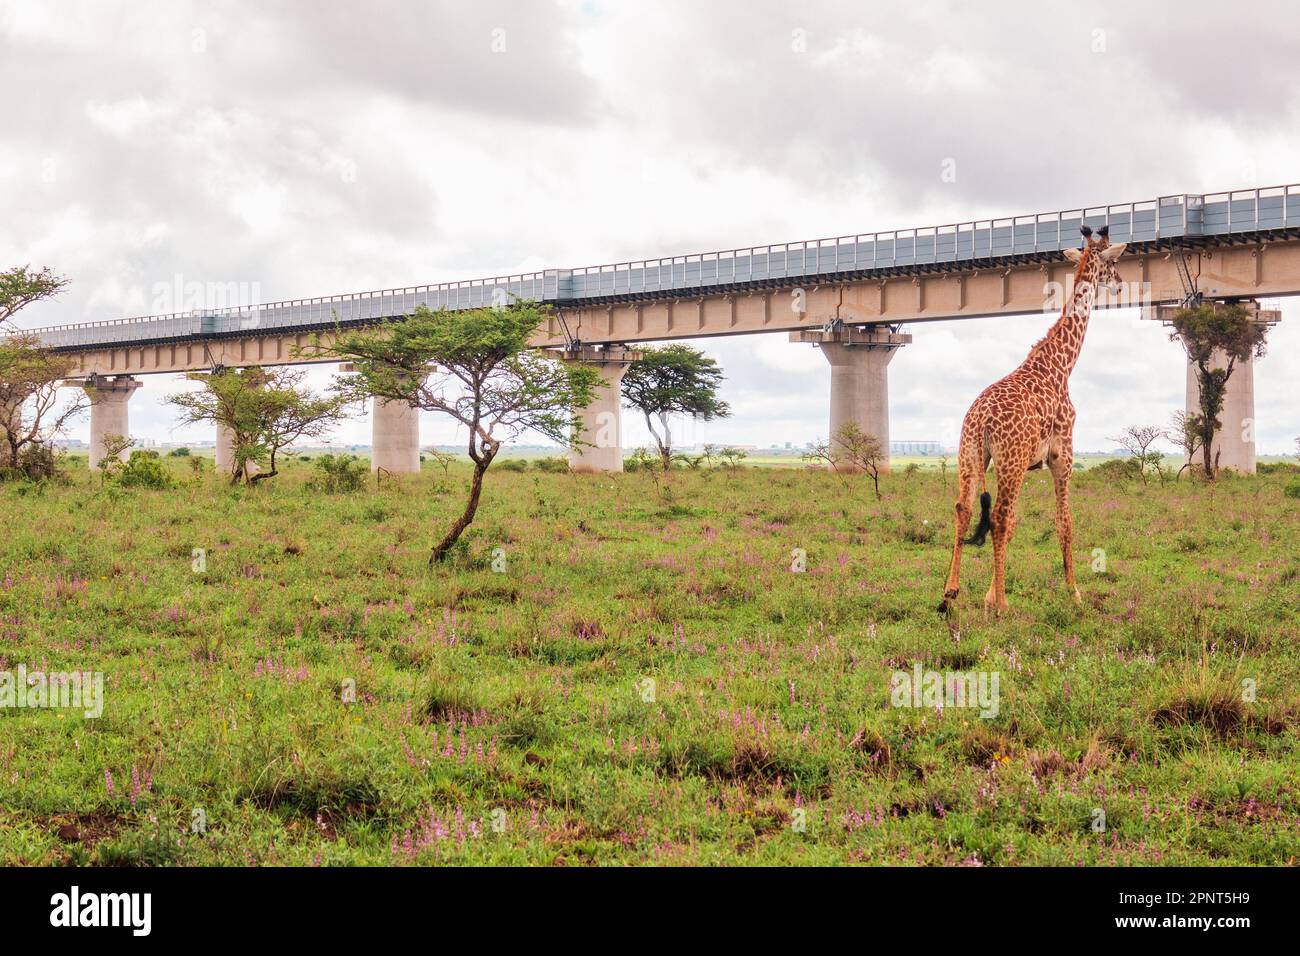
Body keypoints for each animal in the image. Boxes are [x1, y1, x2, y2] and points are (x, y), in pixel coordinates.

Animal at [935, 223, 1128, 613]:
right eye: (1113, 262)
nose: (1120, 283)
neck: (1061, 365)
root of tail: (982, 419)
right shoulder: (1062, 455)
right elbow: (1064, 523)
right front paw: (1074, 592)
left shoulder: (1031, 461)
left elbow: (1016, 526)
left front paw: (987, 593)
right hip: (1010, 462)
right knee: (998, 516)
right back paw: (1002, 605)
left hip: (970, 455)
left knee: (964, 509)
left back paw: (950, 594)